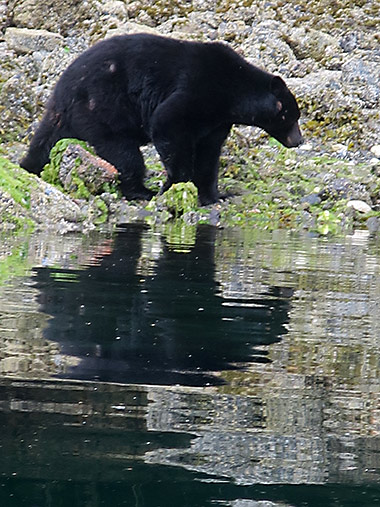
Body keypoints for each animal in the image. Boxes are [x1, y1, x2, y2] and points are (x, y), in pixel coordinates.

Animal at [22, 32, 304, 204]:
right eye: (290, 117)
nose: (299, 141)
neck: (235, 92)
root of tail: (61, 93)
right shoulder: (198, 90)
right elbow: (168, 123)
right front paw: (175, 185)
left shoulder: (217, 121)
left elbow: (209, 154)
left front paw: (215, 195)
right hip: (102, 108)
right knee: (125, 155)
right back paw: (141, 190)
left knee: (45, 141)